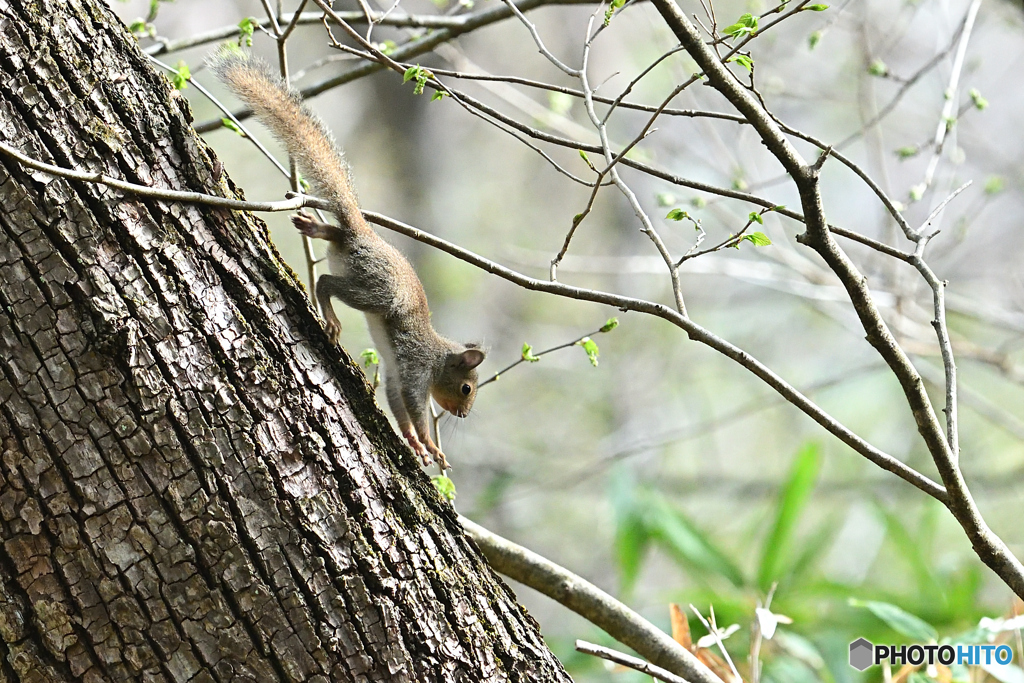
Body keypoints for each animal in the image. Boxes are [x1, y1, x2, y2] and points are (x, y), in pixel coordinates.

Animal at [210, 53, 483, 471]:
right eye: (467, 387)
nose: (464, 415)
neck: (437, 356)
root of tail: (360, 234)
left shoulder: (394, 373)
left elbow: (398, 408)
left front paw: (414, 444)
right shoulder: (415, 370)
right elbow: (414, 409)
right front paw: (430, 445)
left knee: (333, 239)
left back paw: (314, 226)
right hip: (375, 292)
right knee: (326, 283)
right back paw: (332, 319)